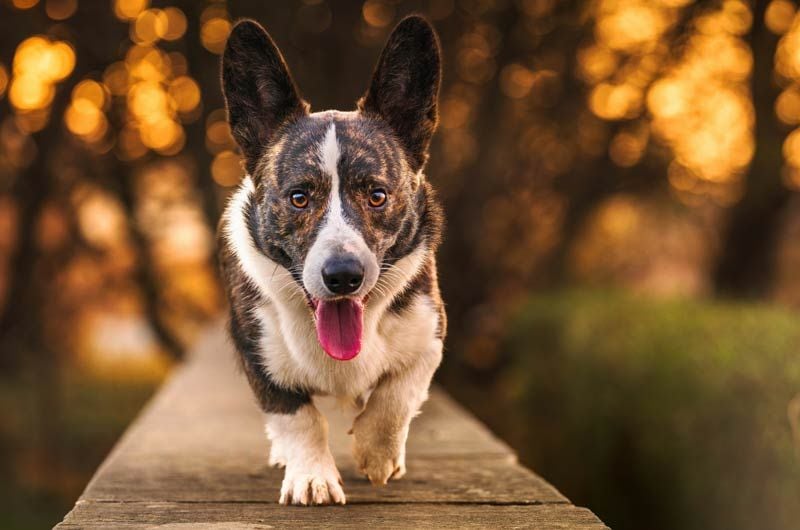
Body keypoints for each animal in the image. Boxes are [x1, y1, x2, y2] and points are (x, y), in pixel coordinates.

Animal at [217, 15, 444, 504]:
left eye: (377, 195)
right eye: (299, 198)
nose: (343, 277)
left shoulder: (428, 335)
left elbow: (396, 397)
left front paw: (377, 456)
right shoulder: (257, 353)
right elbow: (299, 418)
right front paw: (312, 478)